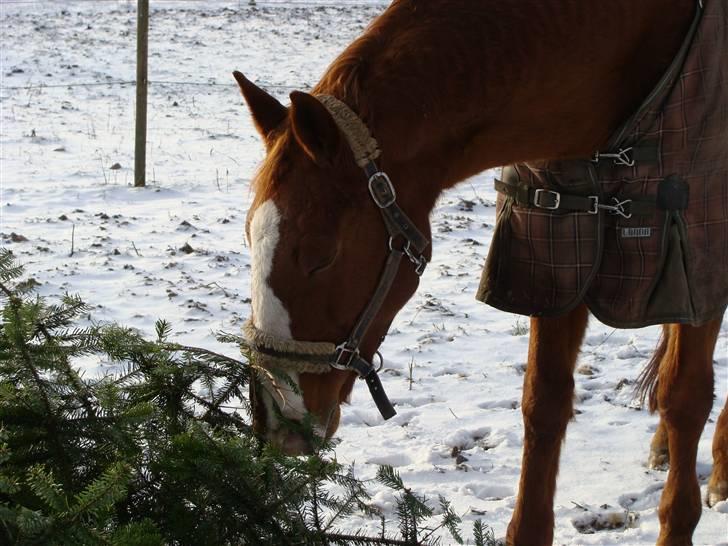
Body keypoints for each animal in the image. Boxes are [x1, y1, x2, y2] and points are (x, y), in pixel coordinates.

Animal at [236, 2, 724, 540]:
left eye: (319, 255)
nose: (275, 420)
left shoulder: (699, 261)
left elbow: (685, 399)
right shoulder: (556, 261)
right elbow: (544, 402)